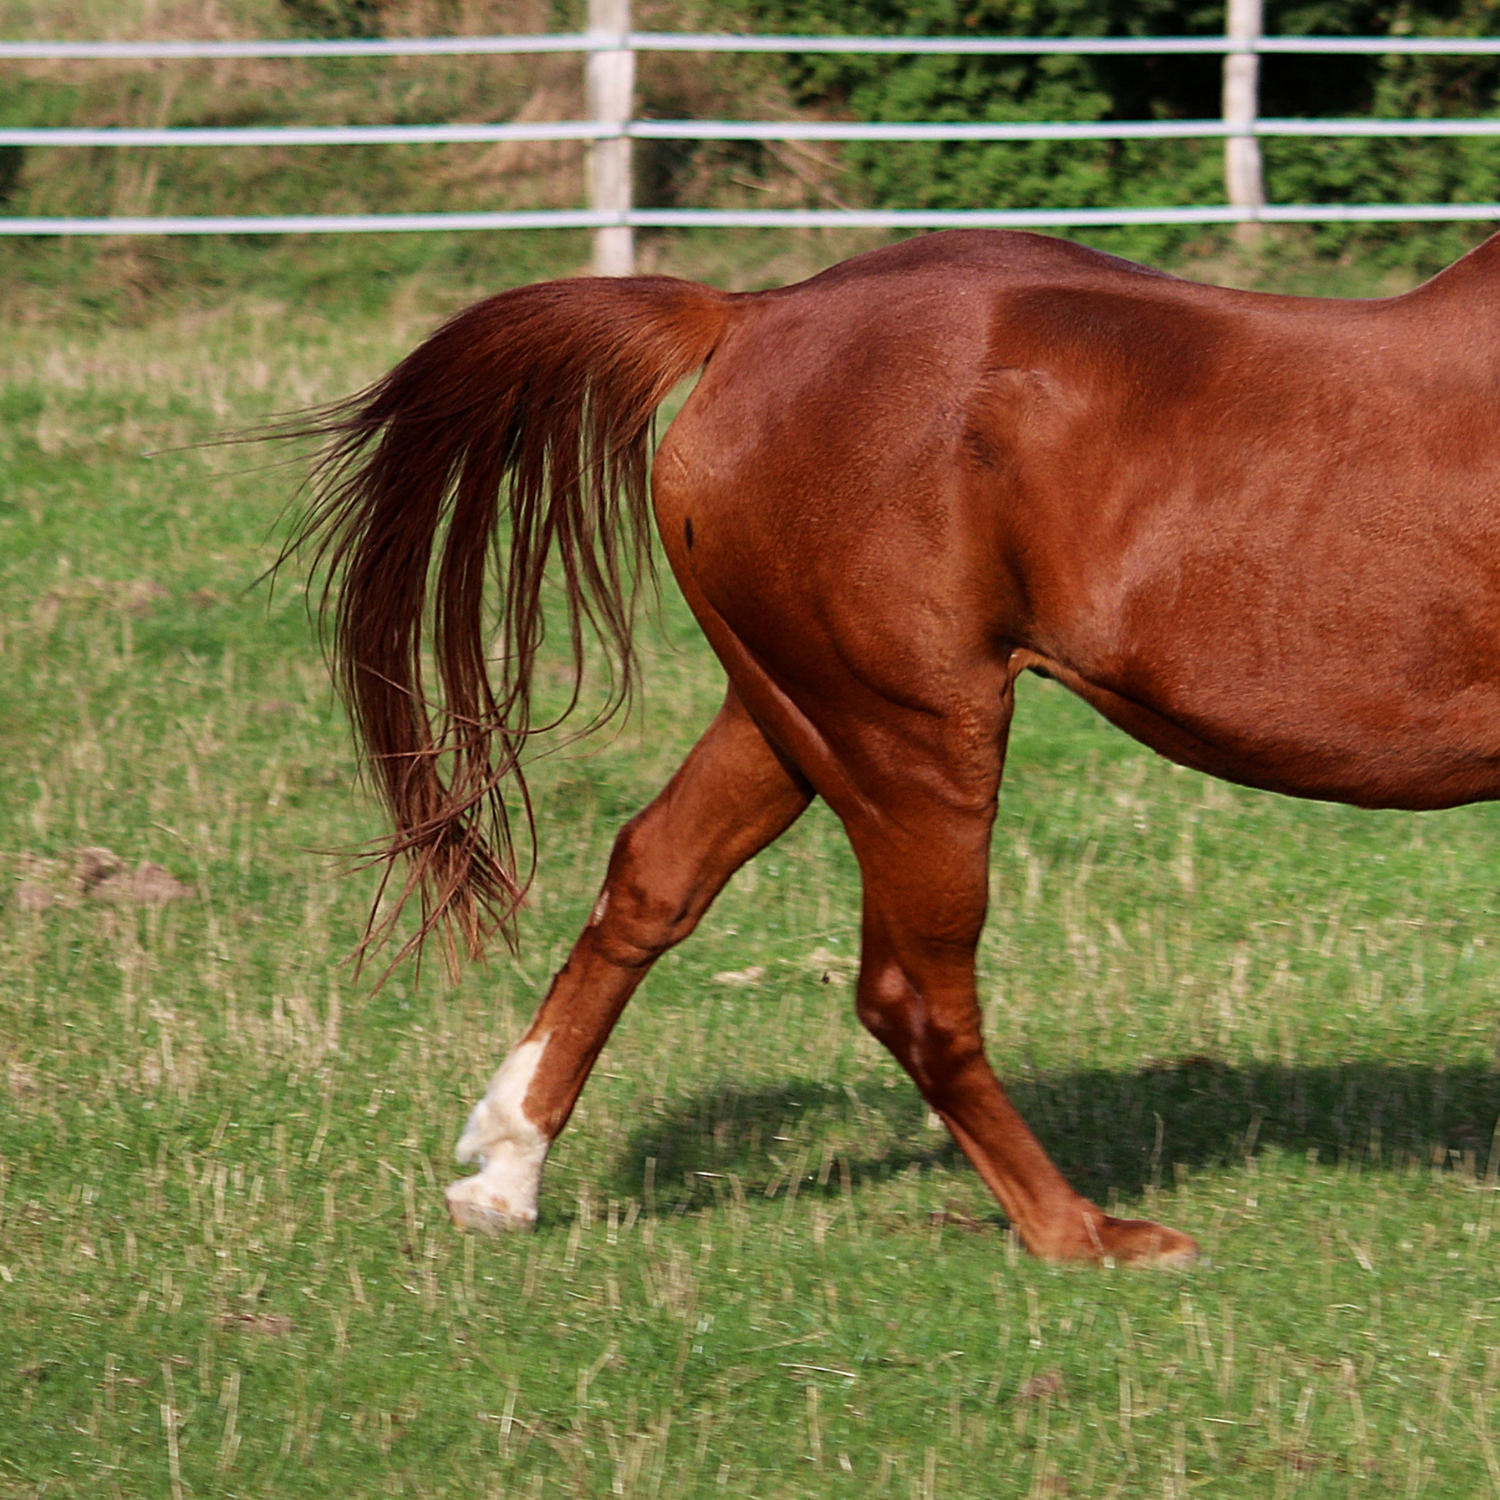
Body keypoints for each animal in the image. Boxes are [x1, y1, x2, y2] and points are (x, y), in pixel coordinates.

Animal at [294, 227, 1500, 1266]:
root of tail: (753, 317)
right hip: (911, 735)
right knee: (909, 995)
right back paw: (1083, 1231)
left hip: (789, 715)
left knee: (652, 879)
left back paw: (506, 1174)